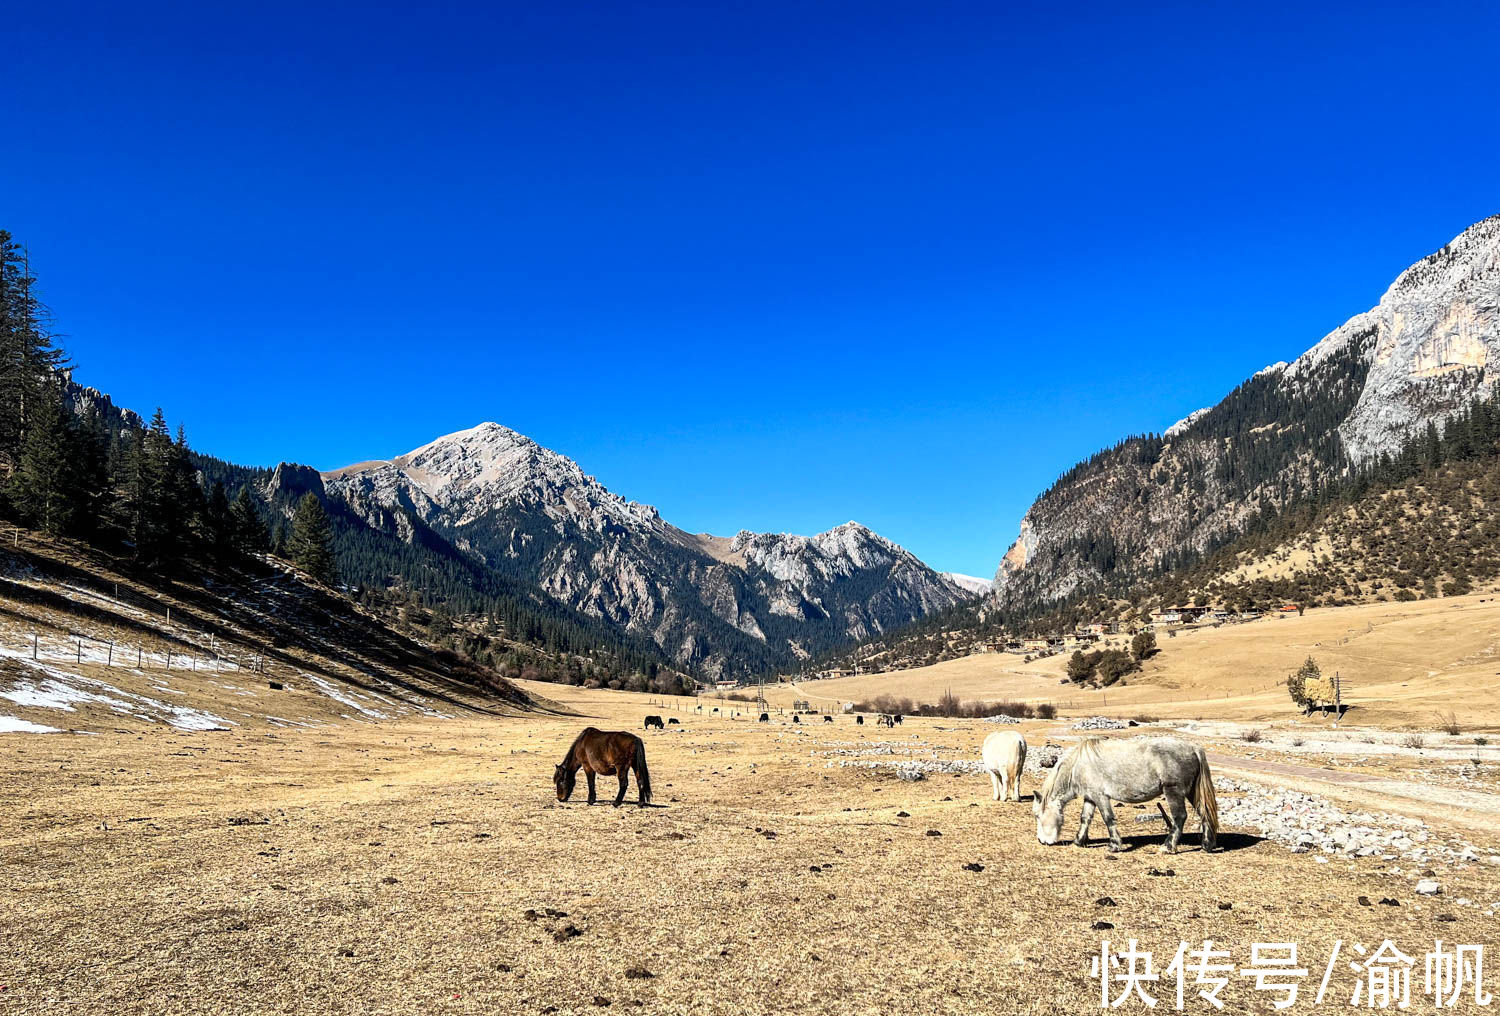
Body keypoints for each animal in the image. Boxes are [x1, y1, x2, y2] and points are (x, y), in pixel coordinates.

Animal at [1032, 732, 1218, 852]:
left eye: (1038, 816)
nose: (1042, 841)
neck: (1078, 766)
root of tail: (1193, 748)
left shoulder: (1101, 797)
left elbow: (1108, 818)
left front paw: (1114, 845)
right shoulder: (1090, 797)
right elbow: (1085, 818)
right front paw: (1079, 841)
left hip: (1173, 791)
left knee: (1180, 817)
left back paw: (1168, 847)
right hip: (1192, 792)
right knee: (1204, 813)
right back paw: (1206, 845)